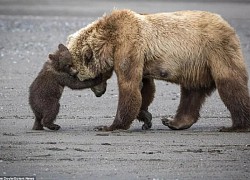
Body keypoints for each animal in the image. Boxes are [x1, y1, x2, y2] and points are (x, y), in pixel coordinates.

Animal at [66, 9, 250, 131]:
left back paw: (237, 125)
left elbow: (129, 86)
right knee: (192, 91)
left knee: (229, 84)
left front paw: (109, 126)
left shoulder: (129, 46)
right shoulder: (140, 57)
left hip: (215, 50)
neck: (110, 40)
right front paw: (145, 117)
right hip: (196, 65)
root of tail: (228, 25)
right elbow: (144, 87)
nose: (99, 93)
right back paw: (174, 122)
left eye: (80, 76)